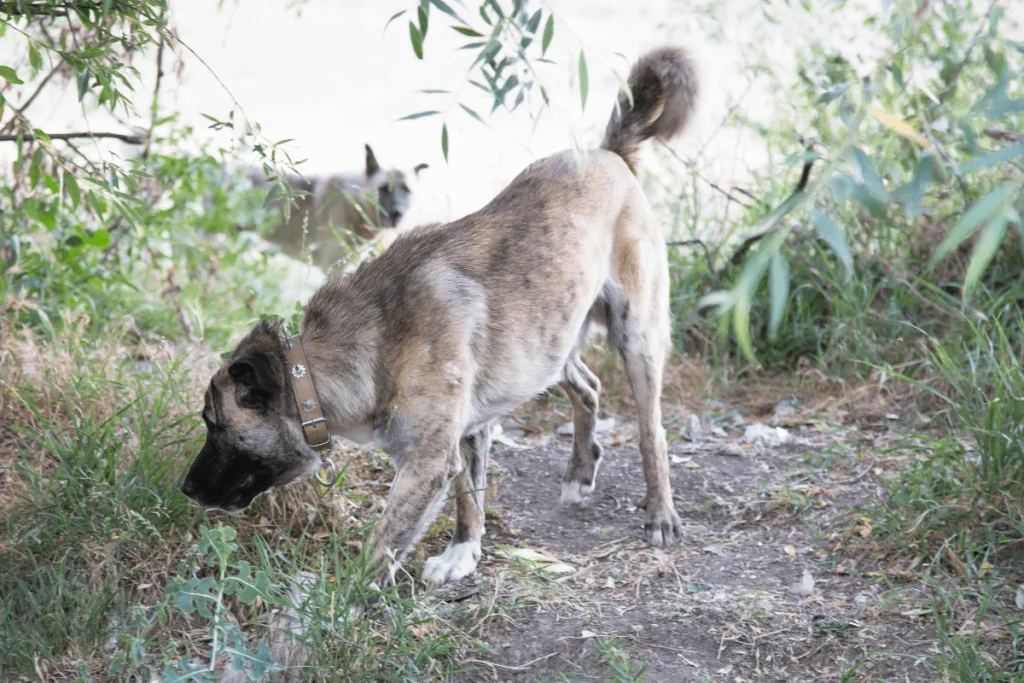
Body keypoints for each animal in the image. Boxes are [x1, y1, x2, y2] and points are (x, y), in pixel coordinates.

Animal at [182, 44, 696, 589]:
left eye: (213, 423)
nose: (185, 490)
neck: (373, 341)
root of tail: (609, 154)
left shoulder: (427, 460)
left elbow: (383, 543)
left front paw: (343, 598)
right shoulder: (466, 429)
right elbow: (470, 492)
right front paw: (463, 551)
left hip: (636, 337)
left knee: (652, 432)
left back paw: (661, 514)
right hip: (543, 347)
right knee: (588, 386)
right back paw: (579, 473)